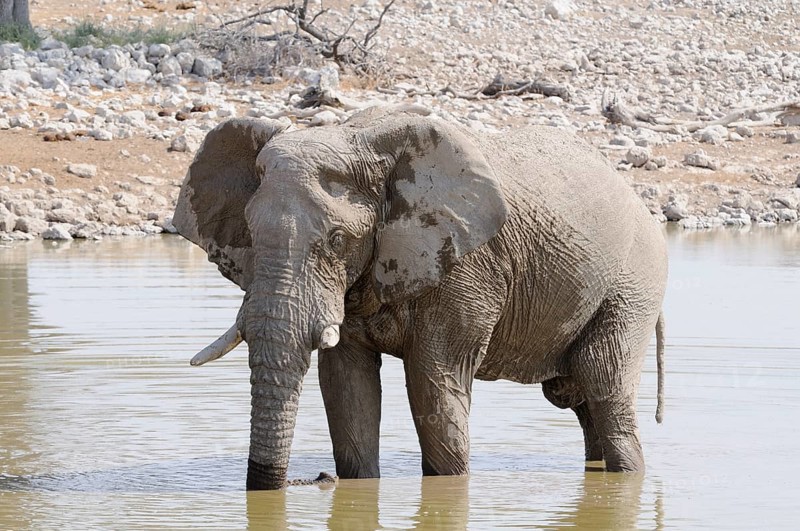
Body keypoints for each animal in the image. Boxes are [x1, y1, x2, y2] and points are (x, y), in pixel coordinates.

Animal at [173, 109, 668, 490]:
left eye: (337, 240)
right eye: (251, 234)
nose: (311, 480)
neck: (357, 138)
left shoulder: (465, 269)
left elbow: (434, 383)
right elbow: (346, 386)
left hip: (634, 282)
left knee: (605, 386)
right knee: (582, 400)